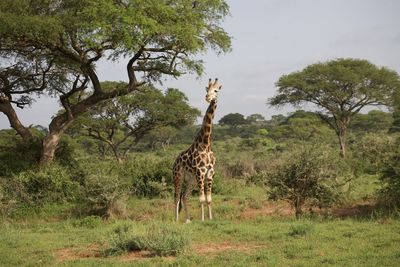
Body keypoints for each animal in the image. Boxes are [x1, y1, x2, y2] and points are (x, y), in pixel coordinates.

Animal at [173, 78, 222, 223]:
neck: (205, 144)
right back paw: (176, 220)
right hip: (178, 176)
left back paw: (188, 220)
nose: (207, 97)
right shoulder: (200, 172)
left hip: (191, 179)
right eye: (207, 89)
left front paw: (210, 219)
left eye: (216, 90)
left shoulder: (210, 172)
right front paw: (202, 220)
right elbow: (201, 199)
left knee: (185, 196)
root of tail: (174, 161)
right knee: (176, 197)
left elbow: (209, 199)